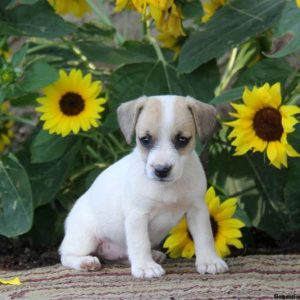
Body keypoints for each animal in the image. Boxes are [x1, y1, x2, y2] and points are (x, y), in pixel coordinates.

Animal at [59, 95, 229, 278]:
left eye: (182, 140)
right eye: (145, 140)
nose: (161, 170)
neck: (167, 188)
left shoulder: (197, 210)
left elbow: (205, 237)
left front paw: (209, 261)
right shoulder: (138, 216)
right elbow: (141, 243)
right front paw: (146, 267)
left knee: (125, 254)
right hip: (85, 238)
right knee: (66, 256)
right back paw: (85, 261)